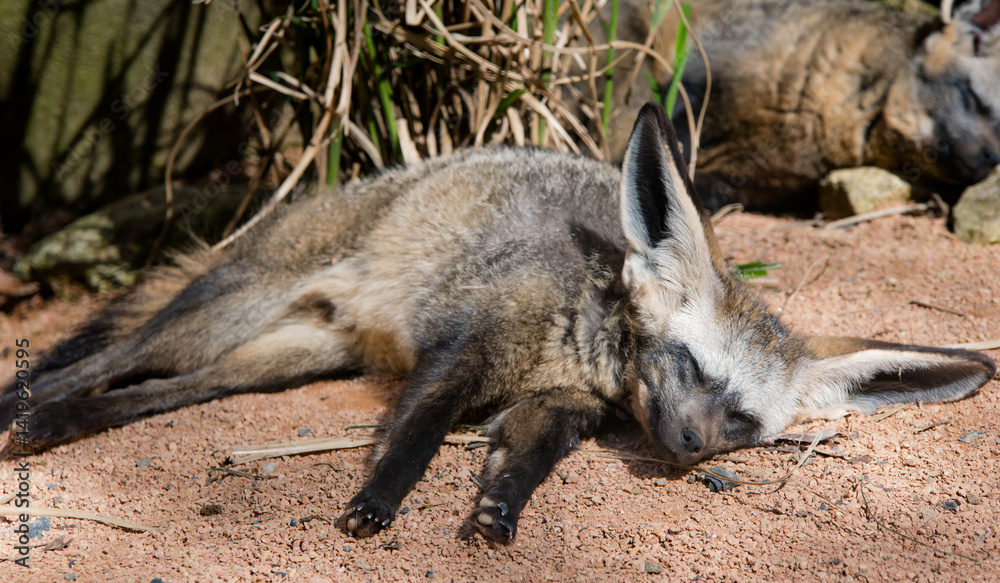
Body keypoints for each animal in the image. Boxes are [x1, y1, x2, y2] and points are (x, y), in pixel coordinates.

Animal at [2, 104, 994, 543]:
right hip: (225, 310)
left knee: (152, 393)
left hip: (279, 359)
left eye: (742, 419)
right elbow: (416, 431)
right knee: (103, 360)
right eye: (690, 365)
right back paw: (29, 405)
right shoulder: (465, 349)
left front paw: (499, 505)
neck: (579, 342)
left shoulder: (561, 404)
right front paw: (377, 500)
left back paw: (58, 423)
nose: (685, 448)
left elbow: (528, 459)